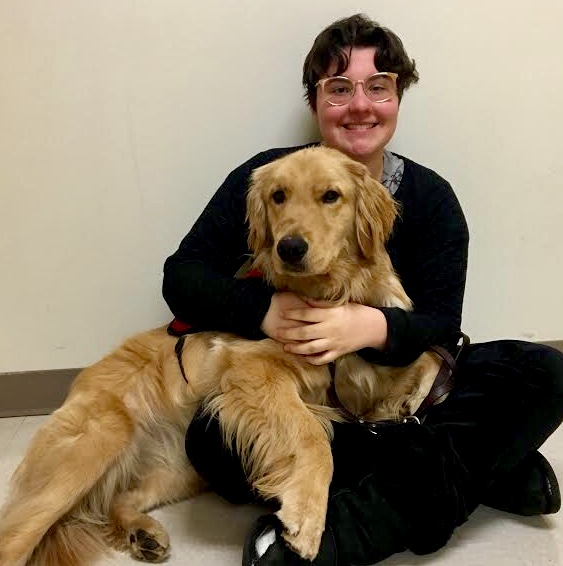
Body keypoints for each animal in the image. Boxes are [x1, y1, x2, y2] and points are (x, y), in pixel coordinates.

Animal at [0, 148, 446, 566]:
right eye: (278, 196)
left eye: (331, 196)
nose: (290, 248)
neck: (328, 291)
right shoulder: (250, 371)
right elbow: (313, 436)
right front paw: (306, 518)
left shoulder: (362, 363)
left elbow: (433, 352)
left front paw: (408, 400)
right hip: (95, 443)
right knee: (12, 539)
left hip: (178, 470)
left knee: (120, 499)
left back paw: (143, 534)